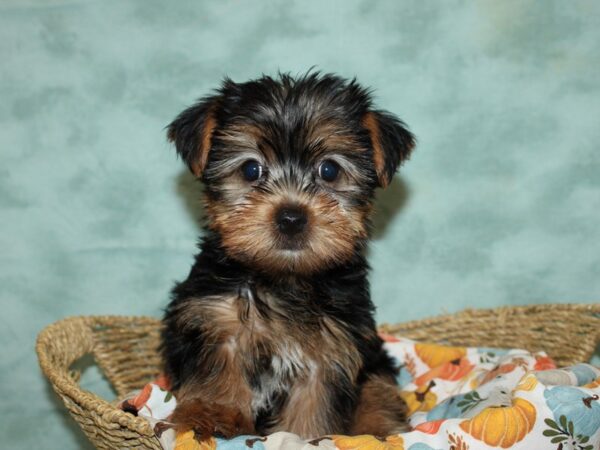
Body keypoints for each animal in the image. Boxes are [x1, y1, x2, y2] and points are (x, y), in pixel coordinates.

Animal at [163, 73, 418, 440]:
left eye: (329, 170)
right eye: (251, 169)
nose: (291, 218)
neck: (284, 278)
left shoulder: (331, 348)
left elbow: (314, 408)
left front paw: (305, 438)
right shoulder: (213, 317)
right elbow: (217, 370)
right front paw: (213, 413)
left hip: (375, 360)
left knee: (378, 389)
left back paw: (379, 428)